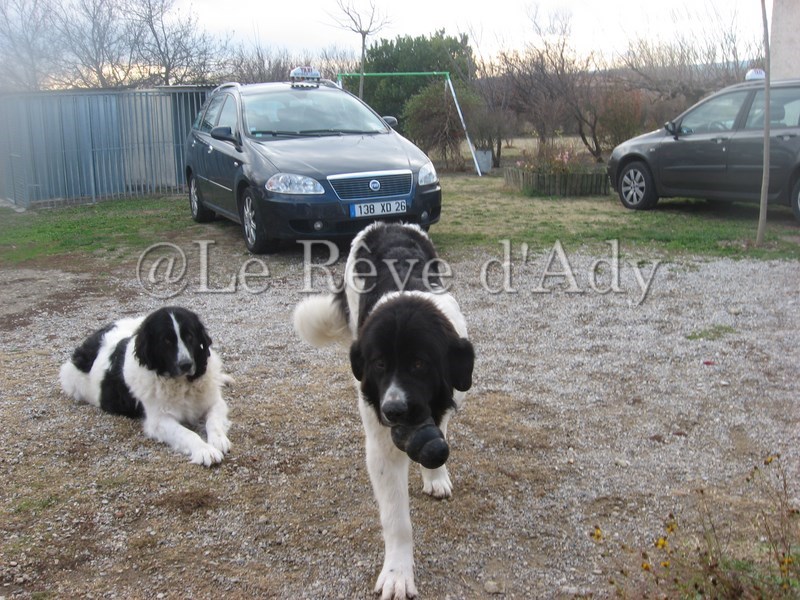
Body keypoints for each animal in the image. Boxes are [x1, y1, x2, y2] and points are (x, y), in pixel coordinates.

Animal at [59, 306, 232, 467]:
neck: (182, 384)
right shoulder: (158, 420)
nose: (186, 364)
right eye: (166, 341)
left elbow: (213, 421)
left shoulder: (215, 402)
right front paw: (205, 450)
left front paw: (218, 440)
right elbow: (186, 433)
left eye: (190, 336)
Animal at [293, 222, 475, 599]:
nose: (393, 410)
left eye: (420, 364)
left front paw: (435, 476)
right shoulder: (381, 443)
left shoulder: (445, 401)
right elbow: (397, 520)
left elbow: (440, 434)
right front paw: (398, 574)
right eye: (379, 364)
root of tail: (387, 223)